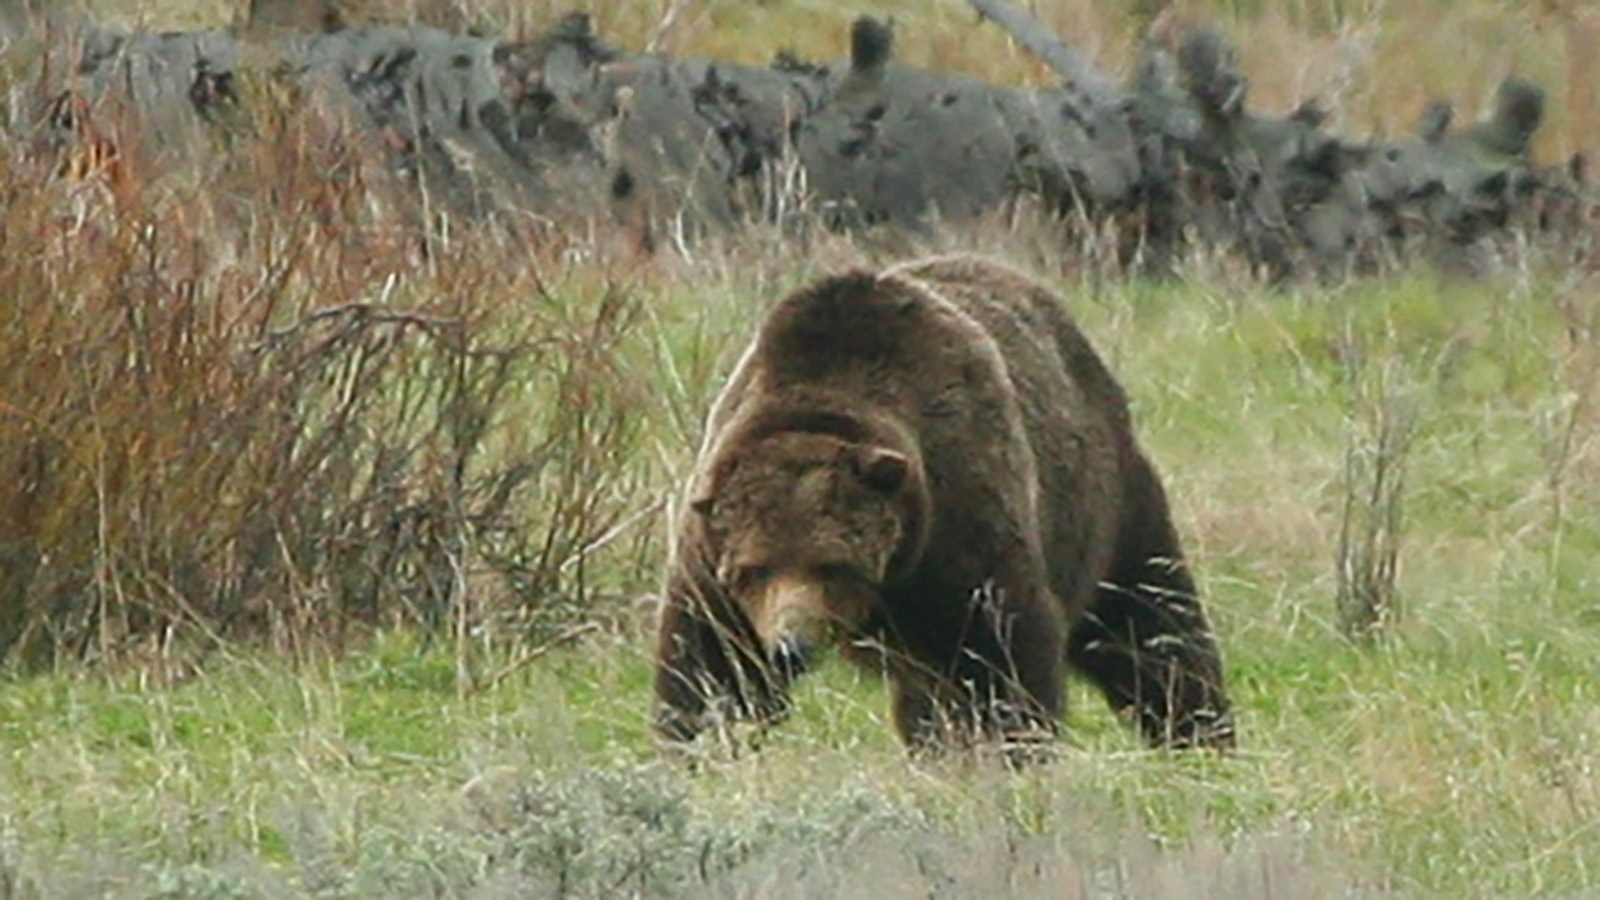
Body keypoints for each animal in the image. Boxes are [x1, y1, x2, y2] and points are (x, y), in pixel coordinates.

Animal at [652, 253, 1233, 759]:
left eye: (832, 565)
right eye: (753, 570)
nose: (792, 645)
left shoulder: (957, 521)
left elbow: (1004, 651)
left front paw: (1009, 749)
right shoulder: (712, 559)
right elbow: (709, 665)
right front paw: (698, 742)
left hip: (1102, 502)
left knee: (1151, 623)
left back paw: (1200, 734)